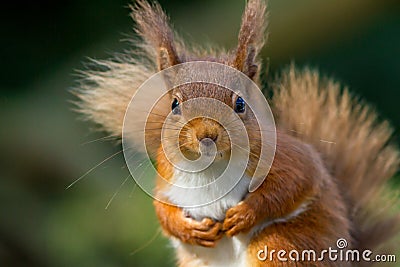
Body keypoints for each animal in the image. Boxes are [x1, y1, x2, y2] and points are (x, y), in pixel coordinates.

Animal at [76, 0, 400, 267]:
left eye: (240, 103)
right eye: (175, 104)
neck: (211, 167)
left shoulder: (289, 156)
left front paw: (245, 214)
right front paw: (189, 229)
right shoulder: (167, 178)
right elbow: (162, 209)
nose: (207, 134)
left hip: (281, 244)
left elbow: (296, 181)